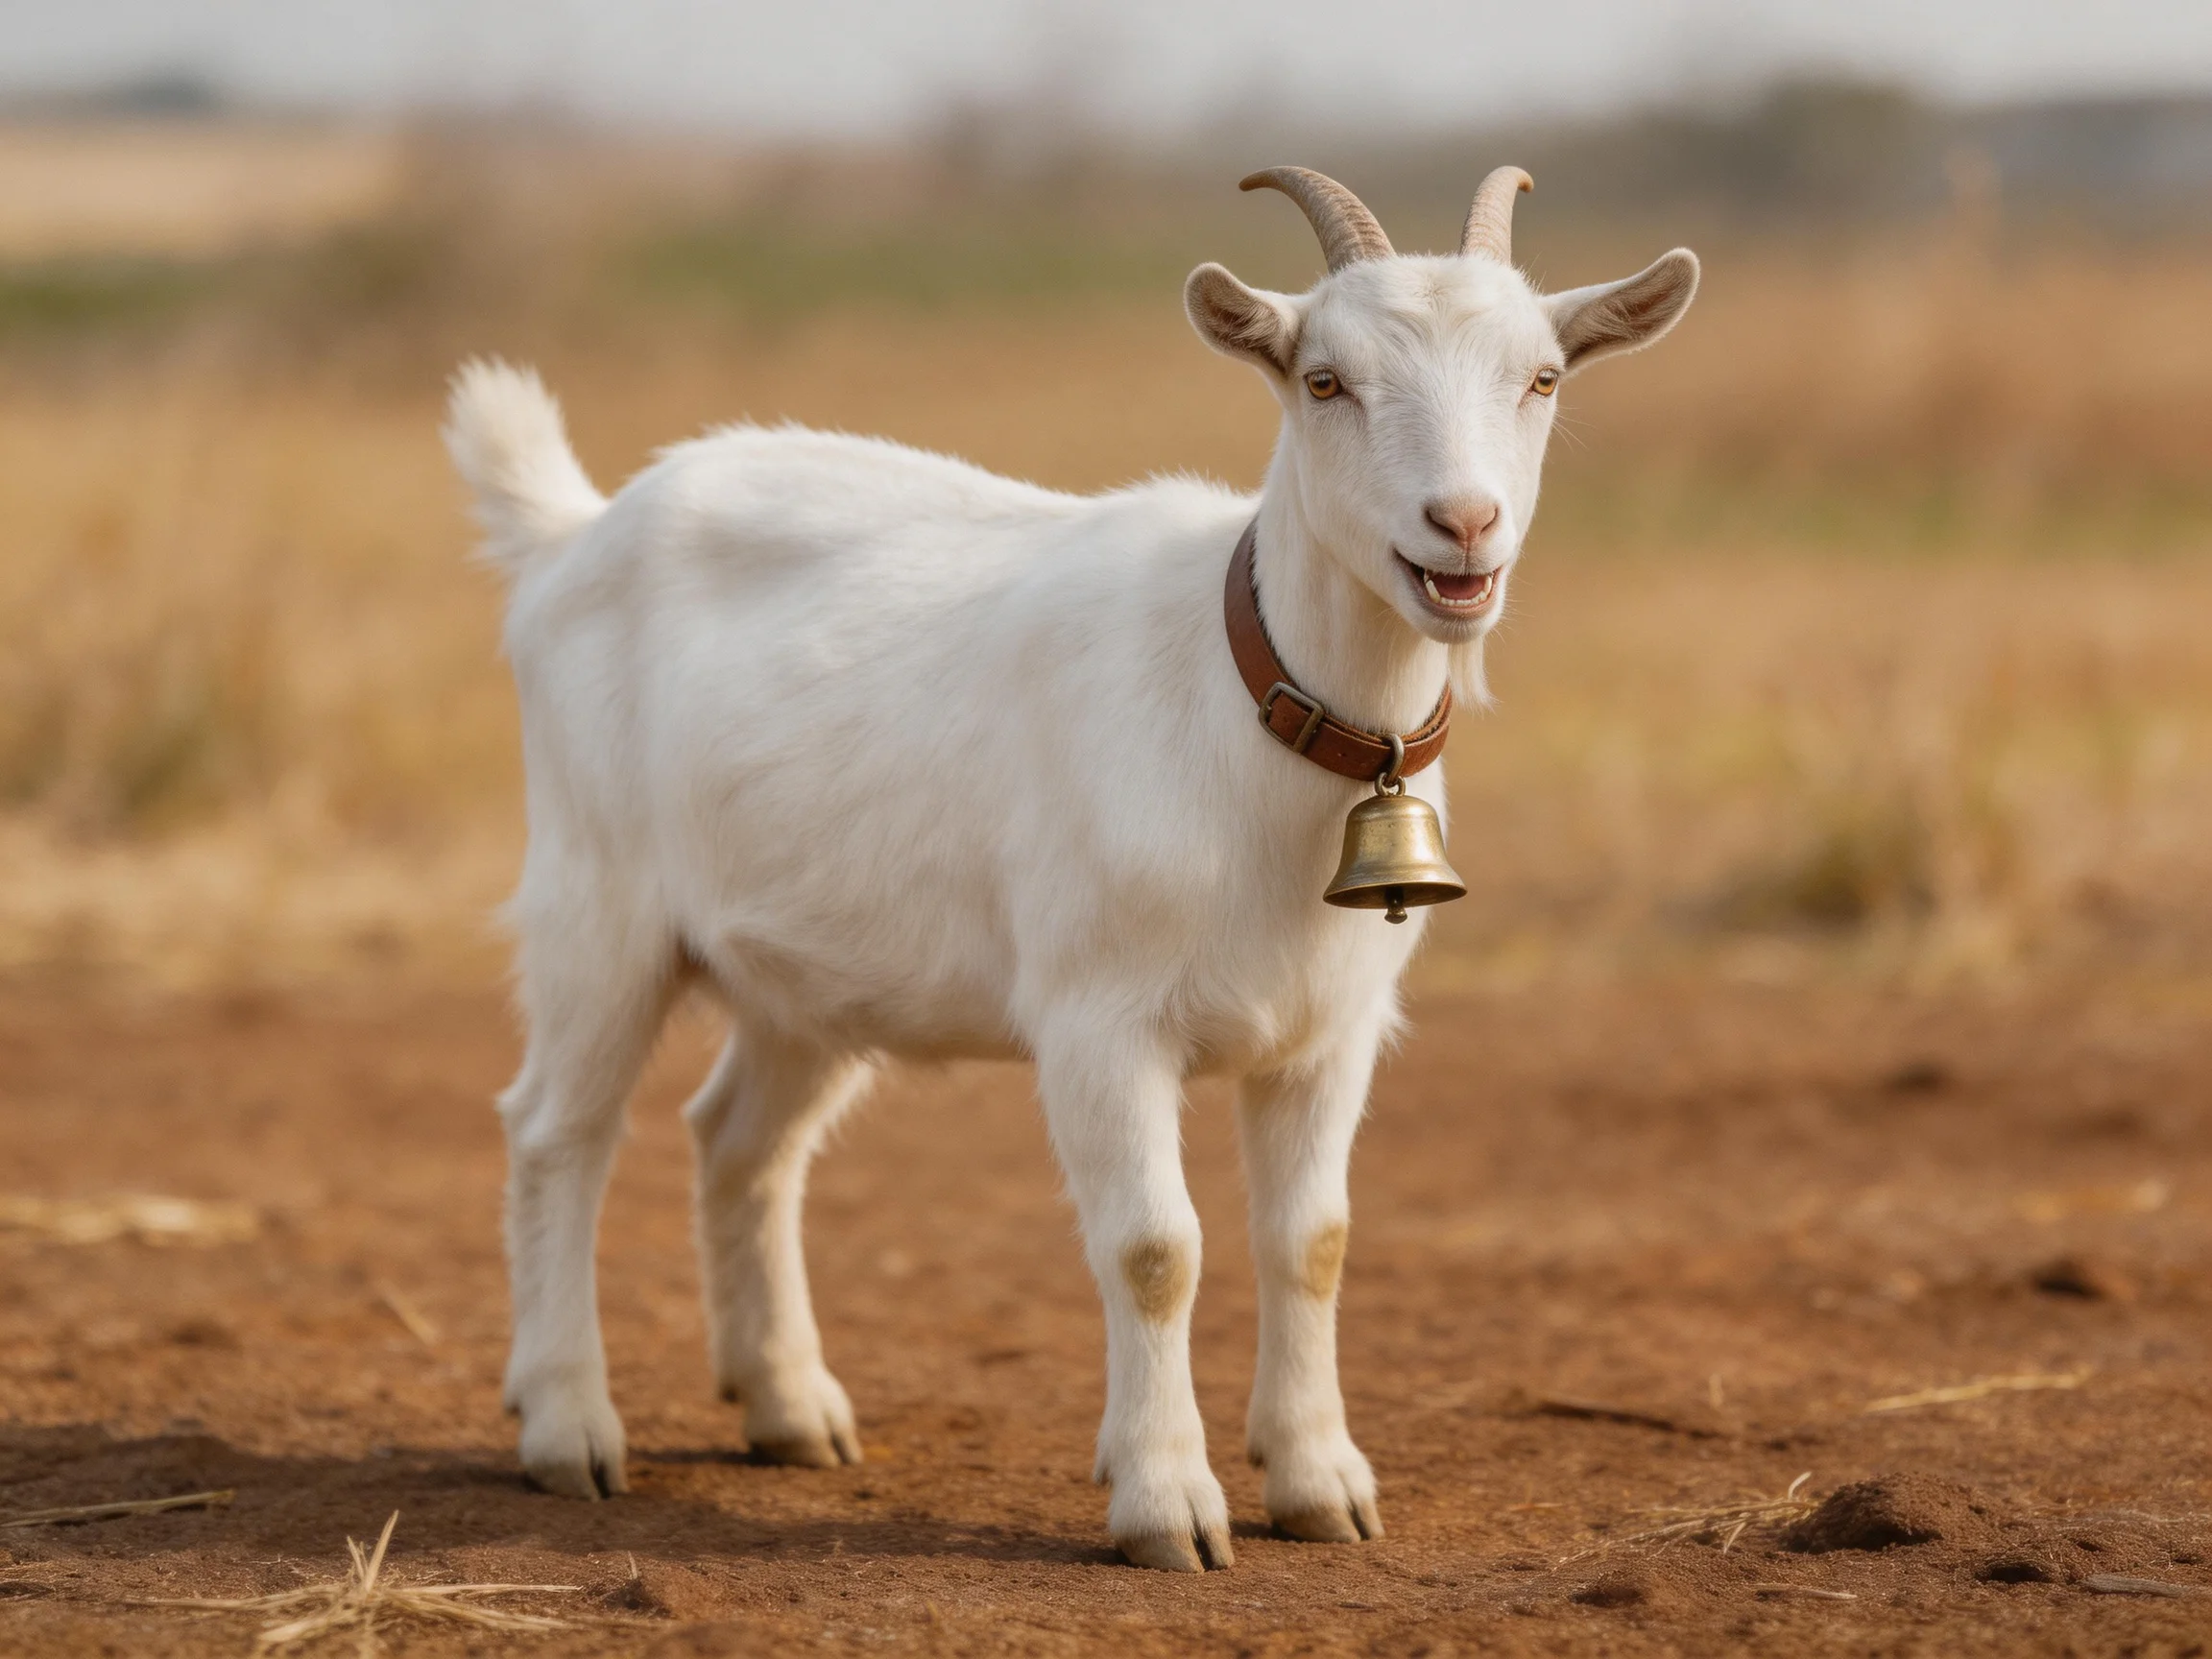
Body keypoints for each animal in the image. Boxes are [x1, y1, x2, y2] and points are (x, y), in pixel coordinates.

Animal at [444, 165, 1697, 1572]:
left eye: (1542, 376)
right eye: (1325, 380)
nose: (1464, 527)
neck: (1241, 694)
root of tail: (573, 535)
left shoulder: (1331, 1028)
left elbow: (1311, 1241)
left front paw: (1321, 1484)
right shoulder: (1100, 1019)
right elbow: (1156, 1248)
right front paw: (1167, 1505)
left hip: (807, 971)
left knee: (741, 1143)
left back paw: (788, 1406)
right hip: (598, 903)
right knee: (557, 1131)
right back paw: (568, 1426)